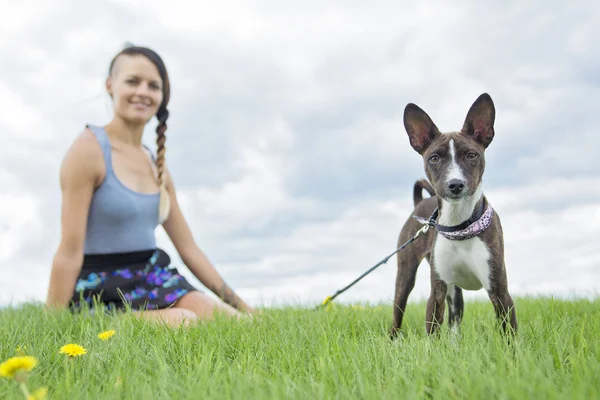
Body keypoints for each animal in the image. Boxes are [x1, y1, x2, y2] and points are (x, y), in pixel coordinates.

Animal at [392, 93, 516, 338]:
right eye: (434, 158)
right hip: (406, 275)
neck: (461, 226)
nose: (455, 184)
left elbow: (510, 335)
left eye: (471, 155)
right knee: (397, 315)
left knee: (455, 321)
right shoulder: (437, 291)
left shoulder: (500, 291)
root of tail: (421, 202)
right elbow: (432, 335)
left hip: (455, 292)